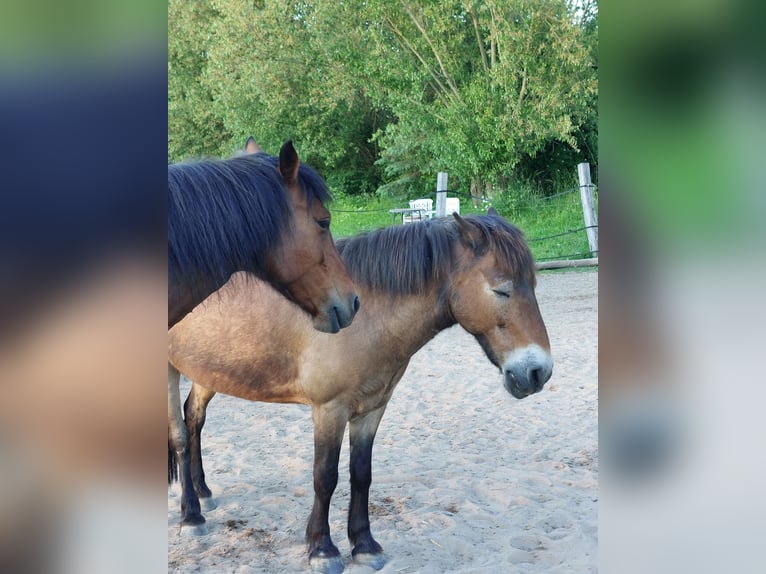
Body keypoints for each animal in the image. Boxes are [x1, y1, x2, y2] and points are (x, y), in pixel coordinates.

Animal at [168, 211, 553, 573]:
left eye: (534, 284)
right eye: (501, 289)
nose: (538, 372)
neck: (367, 316)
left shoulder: (371, 409)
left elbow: (361, 475)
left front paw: (365, 545)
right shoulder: (329, 410)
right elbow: (325, 477)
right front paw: (322, 550)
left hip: (208, 374)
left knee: (195, 419)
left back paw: (203, 492)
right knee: (180, 436)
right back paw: (192, 516)